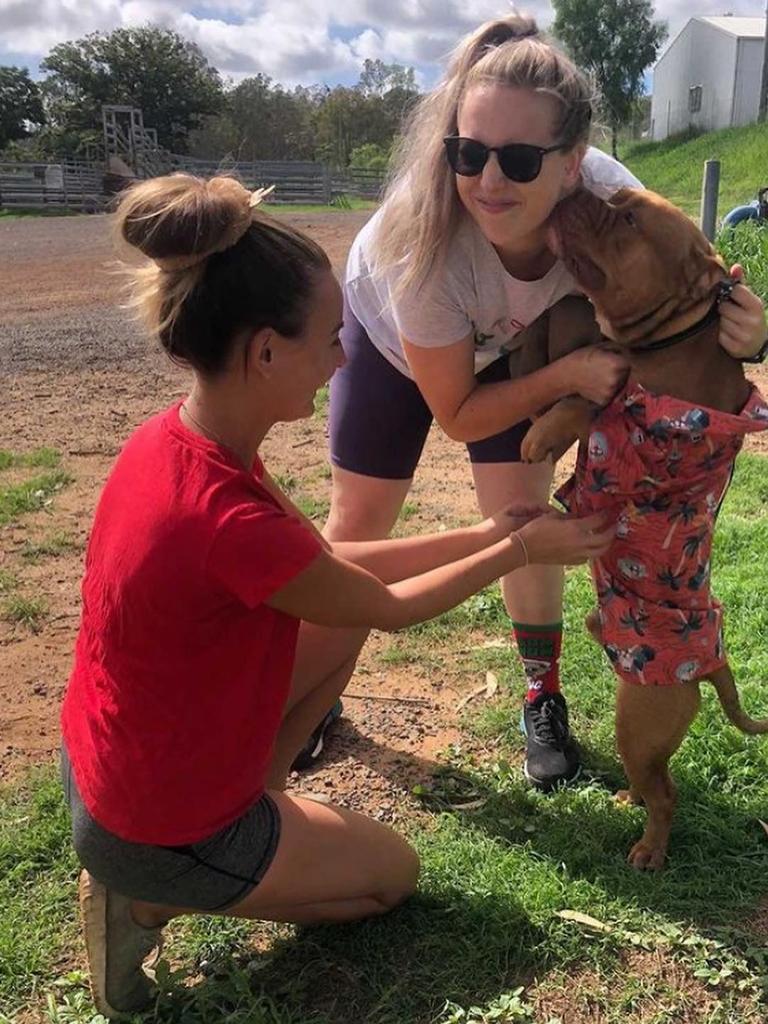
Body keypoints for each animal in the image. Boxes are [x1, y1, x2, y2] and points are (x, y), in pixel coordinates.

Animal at [524, 188, 768, 868]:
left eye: (629, 219)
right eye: (615, 199)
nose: (576, 186)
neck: (675, 336)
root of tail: (714, 662)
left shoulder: (631, 429)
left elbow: (590, 394)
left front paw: (544, 430)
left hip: (637, 720)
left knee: (666, 794)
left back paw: (650, 849)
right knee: (655, 780)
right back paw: (628, 804)